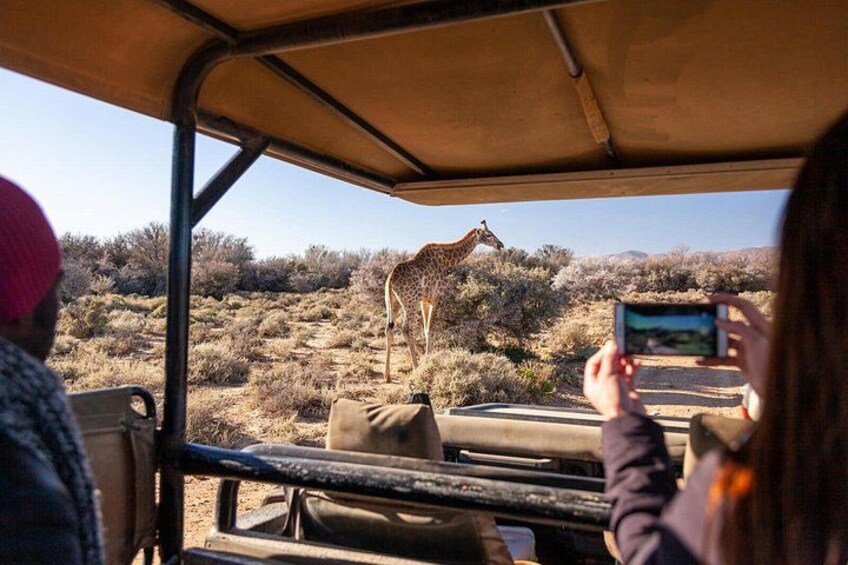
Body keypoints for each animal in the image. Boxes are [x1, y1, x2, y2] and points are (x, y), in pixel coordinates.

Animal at [383, 221, 504, 382]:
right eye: (489, 234)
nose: (500, 245)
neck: (446, 260)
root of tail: (390, 279)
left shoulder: (424, 300)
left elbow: (426, 328)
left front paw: (427, 360)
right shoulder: (436, 296)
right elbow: (430, 329)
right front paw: (427, 362)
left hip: (393, 302)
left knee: (388, 329)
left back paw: (387, 375)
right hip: (410, 302)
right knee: (406, 329)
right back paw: (415, 369)